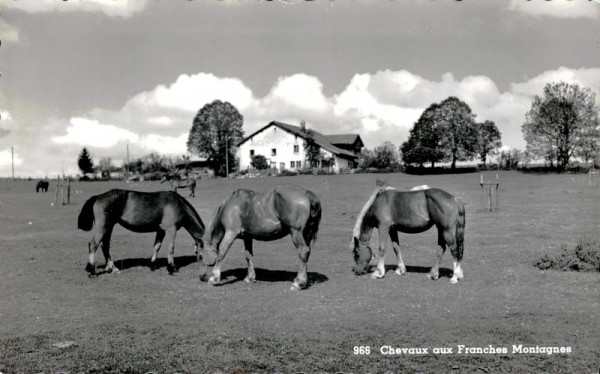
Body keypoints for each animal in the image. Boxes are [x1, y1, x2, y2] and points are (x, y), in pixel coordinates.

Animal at [77, 190, 205, 274]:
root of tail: (99, 196)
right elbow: (171, 248)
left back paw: (112, 268)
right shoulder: (171, 230)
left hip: (109, 227)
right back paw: (92, 269)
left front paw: (152, 265)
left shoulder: (161, 231)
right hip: (103, 227)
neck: (177, 204)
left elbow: (156, 247)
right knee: (93, 245)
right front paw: (171, 268)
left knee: (105, 246)